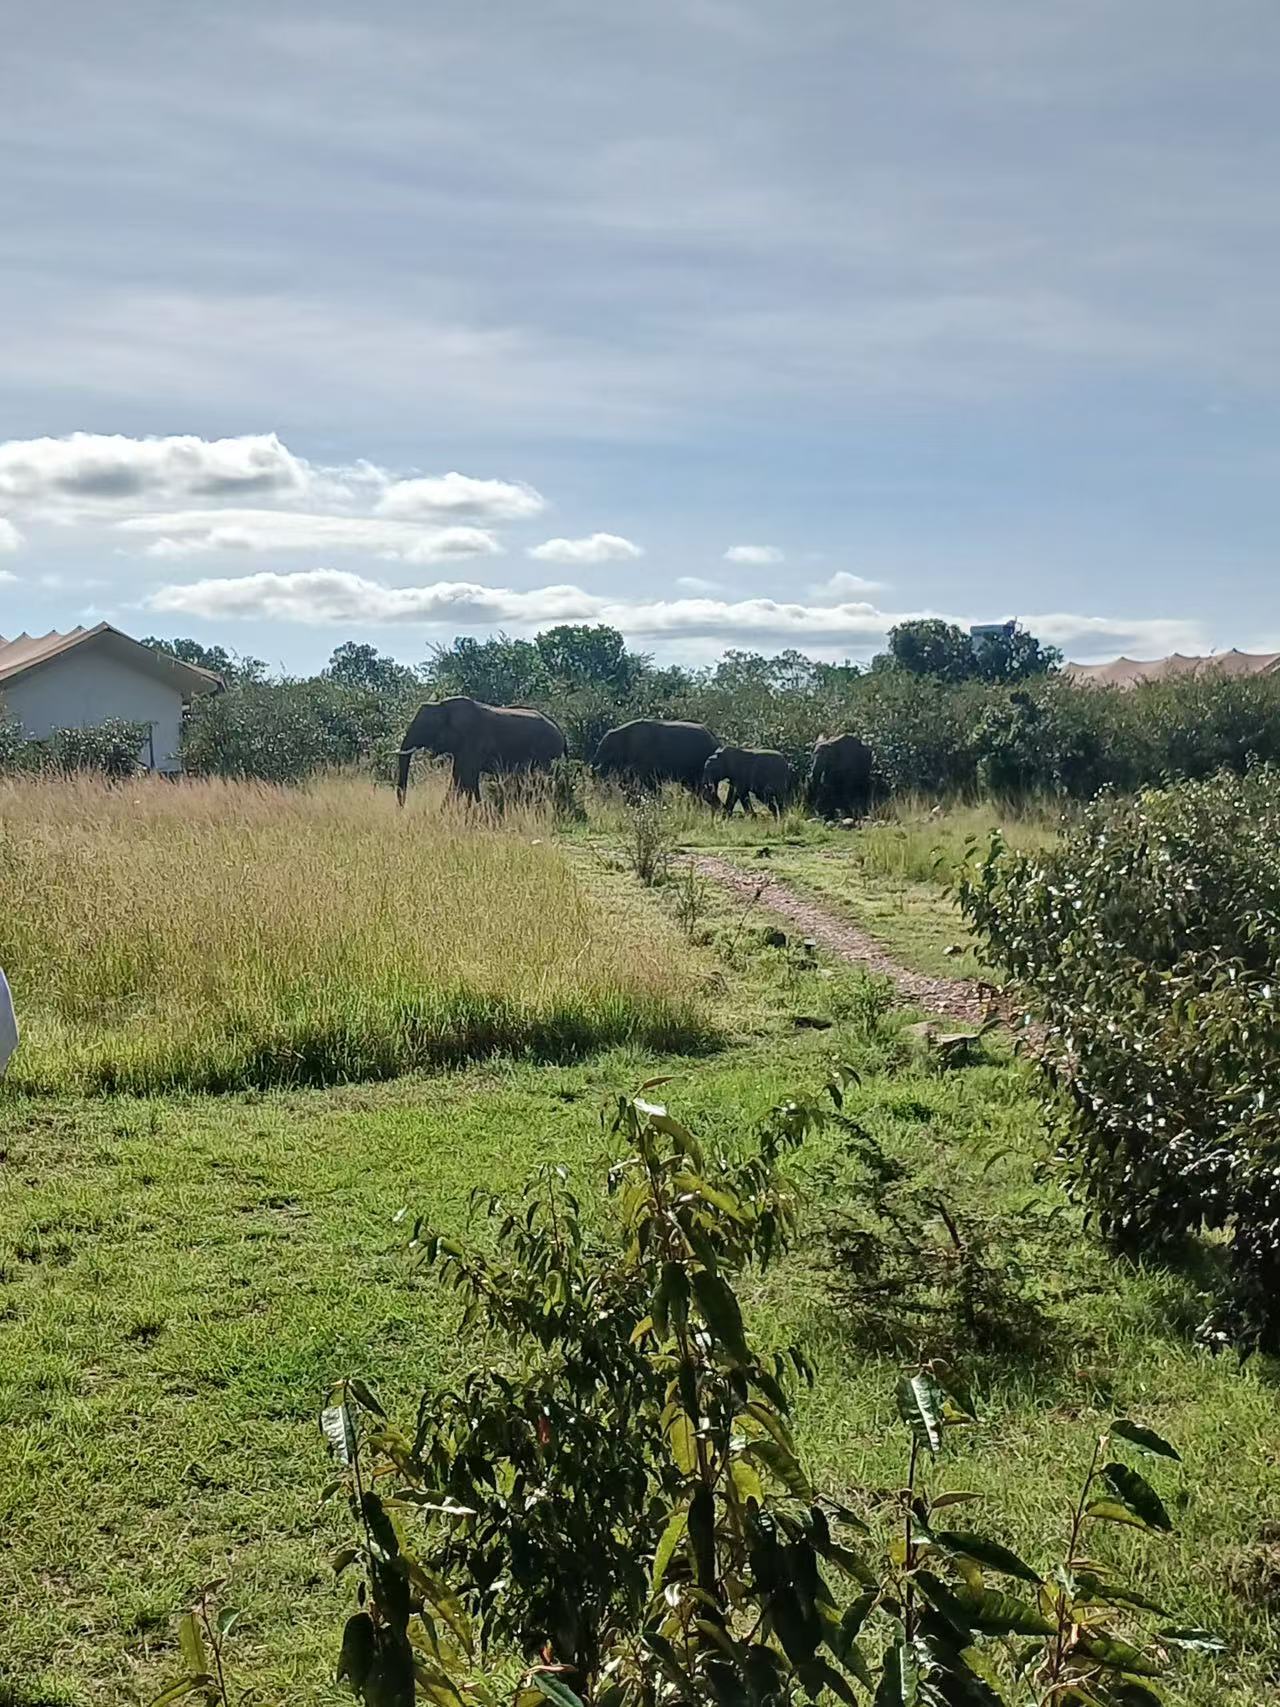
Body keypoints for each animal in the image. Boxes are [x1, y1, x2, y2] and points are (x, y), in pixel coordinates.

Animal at [396, 697, 566, 805]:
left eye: (426, 727)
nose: (402, 808)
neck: (443, 706)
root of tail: (561, 732)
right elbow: (460, 776)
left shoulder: (473, 740)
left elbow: (465, 777)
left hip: (547, 753)